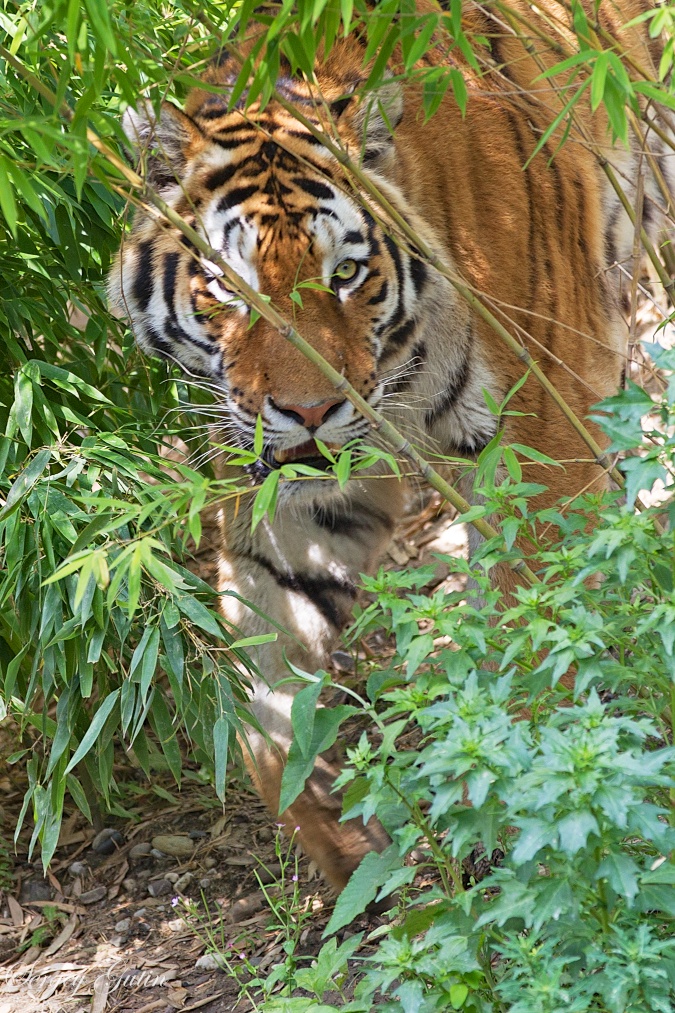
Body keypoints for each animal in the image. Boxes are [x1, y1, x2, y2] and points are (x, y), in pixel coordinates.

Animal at [107, 0, 668, 891]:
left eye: (344, 275)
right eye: (230, 287)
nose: (307, 408)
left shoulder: (544, 446)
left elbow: (543, 641)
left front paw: (545, 841)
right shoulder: (288, 499)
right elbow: (266, 687)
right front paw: (338, 833)